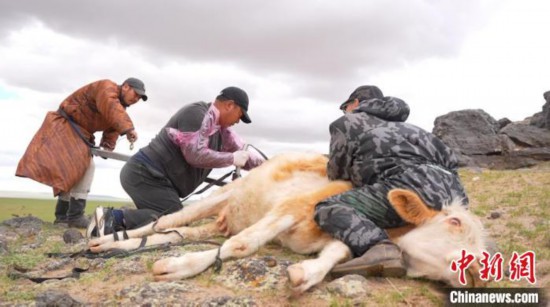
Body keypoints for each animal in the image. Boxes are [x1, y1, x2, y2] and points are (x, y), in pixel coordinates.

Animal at [88, 153, 490, 294]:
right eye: (455, 221)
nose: (477, 273)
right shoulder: (292, 208)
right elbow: (242, 246)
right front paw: (178, 267)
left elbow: (334, 255)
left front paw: (305, 274)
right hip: (224, 195)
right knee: (162, 223)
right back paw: (107, 241)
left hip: (222, 219)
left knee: (176, 232)